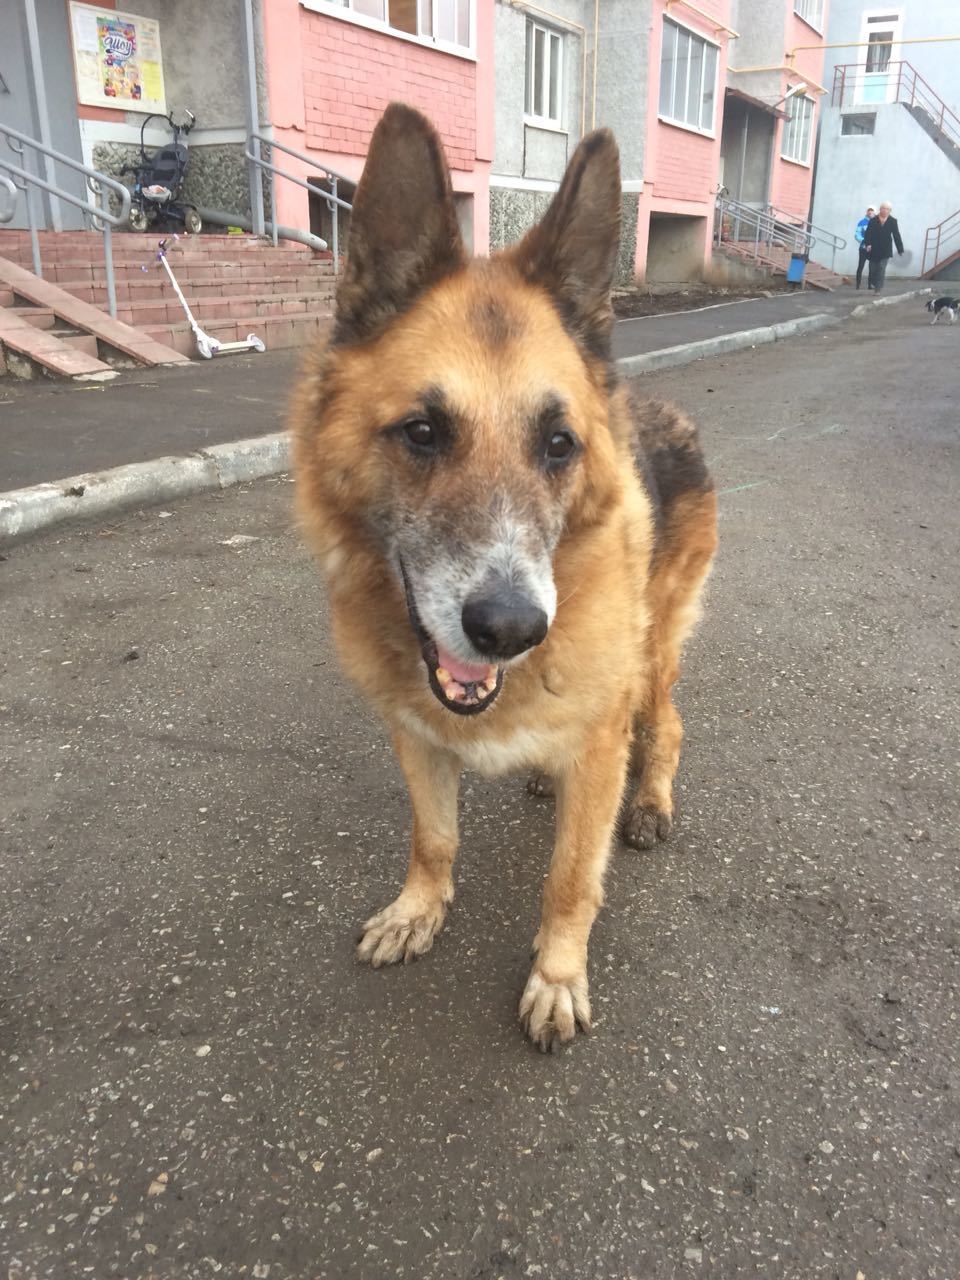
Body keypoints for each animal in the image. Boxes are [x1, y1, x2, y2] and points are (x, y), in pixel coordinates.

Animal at [289, 102, 716, 1049]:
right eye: (421, 432)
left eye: (558, 445)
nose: (514, 631)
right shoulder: (417, 736)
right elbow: (434, 839)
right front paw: (421, 909)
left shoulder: (595, 744)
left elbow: (572, 879)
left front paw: (556, 975)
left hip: (655, 656)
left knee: (664, 727)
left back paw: (650, 803)